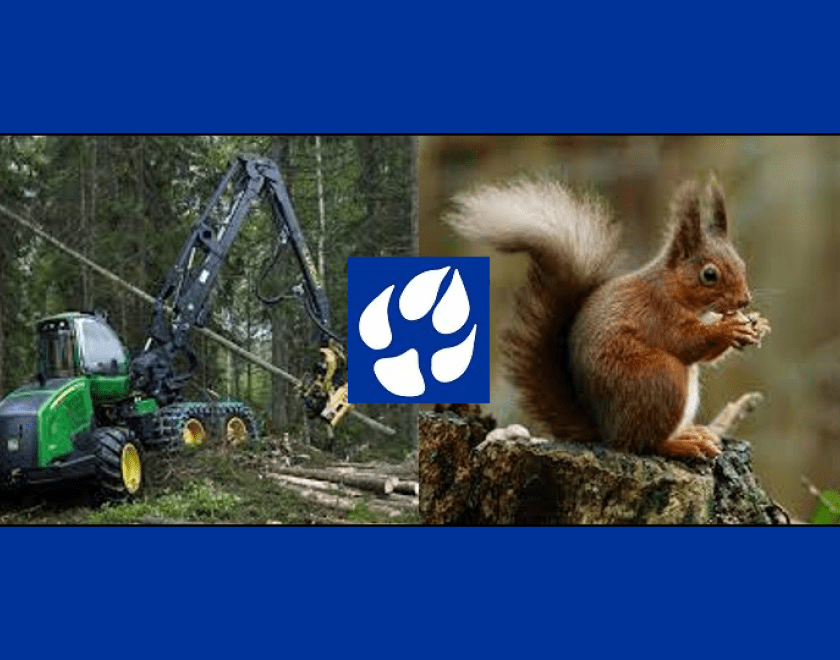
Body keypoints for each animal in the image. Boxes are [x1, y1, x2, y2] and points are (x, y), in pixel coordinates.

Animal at [445, 175, 770, 459]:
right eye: (709, 274)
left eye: (741, 263)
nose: (744, 300)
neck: (672, 288)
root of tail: (606, 431)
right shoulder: (656, 312)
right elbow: (686, 342)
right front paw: (728, 328)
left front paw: (756, 325)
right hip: (660, 378)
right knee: (642, 444)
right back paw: (681, 444)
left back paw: (690, 434)